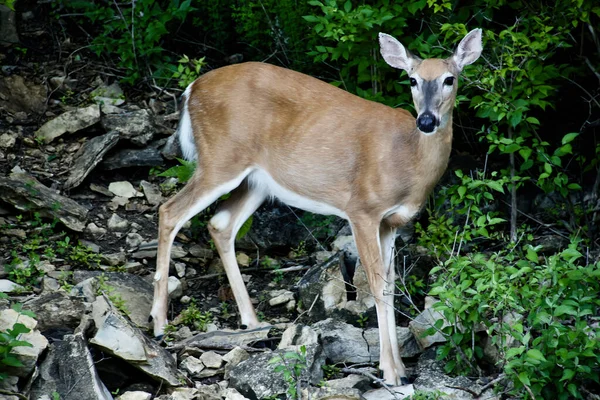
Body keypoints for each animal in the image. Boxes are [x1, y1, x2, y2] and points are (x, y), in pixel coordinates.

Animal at [150, 29, 482, 386]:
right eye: (412, 79)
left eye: (450, 79)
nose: (427, 121)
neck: (407, 160)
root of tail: (192, 88)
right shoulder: (362, 209)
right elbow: (376, 286)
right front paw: (390, 372)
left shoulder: (392, 222)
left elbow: (391, 286)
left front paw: (400, 368)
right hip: (220, 159)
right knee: (170, 211)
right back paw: (159, 323)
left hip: (256, 180)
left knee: (220, 224)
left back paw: (252, 321)